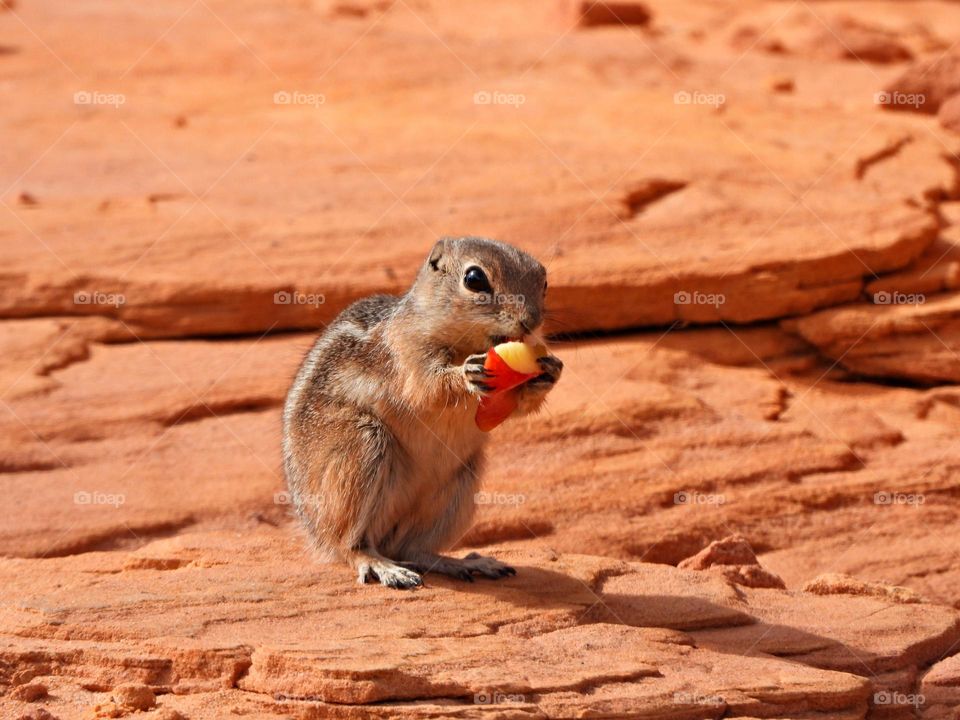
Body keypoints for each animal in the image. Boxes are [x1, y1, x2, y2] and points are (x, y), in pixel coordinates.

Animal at [281, 236, 563, 589]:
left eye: (544, 281)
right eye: (474, 279)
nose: (531, 322)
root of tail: (313, 529)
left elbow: (515, 407)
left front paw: (549, 370)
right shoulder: (408, 354)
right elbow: (429, 388)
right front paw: (466, 374)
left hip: (461, 483)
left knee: (414, 549)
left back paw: (465, 563)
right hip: (361, 447)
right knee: (349, 545)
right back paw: (382, 566)